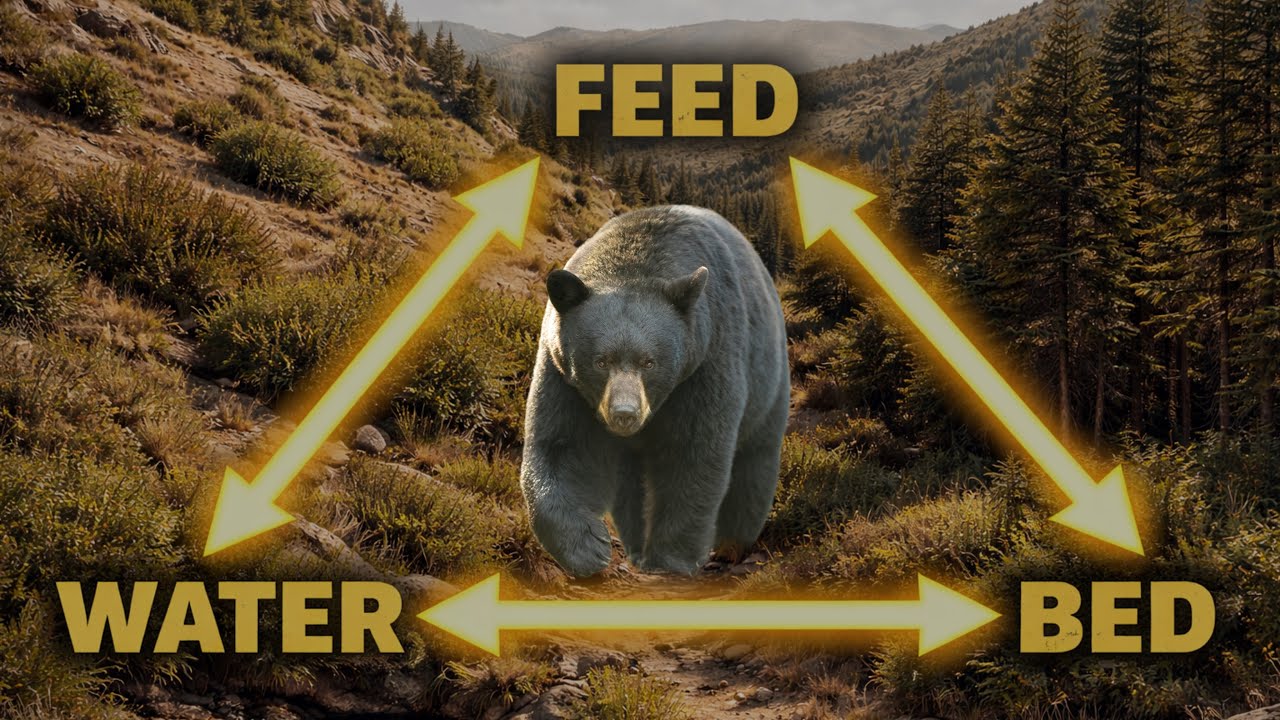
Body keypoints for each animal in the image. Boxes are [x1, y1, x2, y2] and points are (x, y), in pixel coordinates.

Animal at [519, 205, 790, 577]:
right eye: (601, 361)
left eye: (649, 362)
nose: (624, 414)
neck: (635, 264)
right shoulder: (563, 374)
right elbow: (561, 444)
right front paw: (588, 548)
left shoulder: (706, 360)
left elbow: (693, 455)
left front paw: (671, 560)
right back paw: (636, 546)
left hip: (768, 381)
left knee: (754, 461)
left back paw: (732, 546)